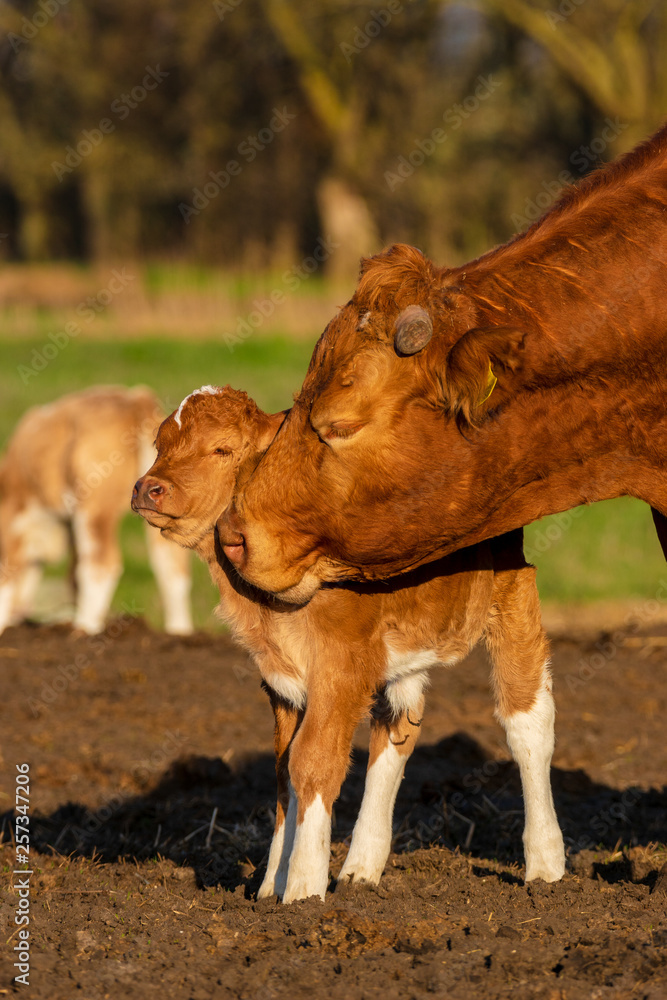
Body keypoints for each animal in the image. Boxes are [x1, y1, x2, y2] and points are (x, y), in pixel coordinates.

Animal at [0, 386, 193, 636]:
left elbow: (7, 575)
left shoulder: (14, 523)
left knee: (102, 564)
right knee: (172, 566)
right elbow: (72, 574)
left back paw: (84, 629)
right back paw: (179, 632)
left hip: (95, 507)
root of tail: (135, 400)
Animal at [133, 386, 568, 904]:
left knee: (527, 723)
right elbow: (283, 770)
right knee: (398, 730)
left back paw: (545, 865)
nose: (148, 488)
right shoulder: (282, 678)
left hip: (510, 592)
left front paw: (302, 891)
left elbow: (311, 761)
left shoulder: (341, 666)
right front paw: (270, 887)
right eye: (160, 445)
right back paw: (362, 868)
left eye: (221, 449)